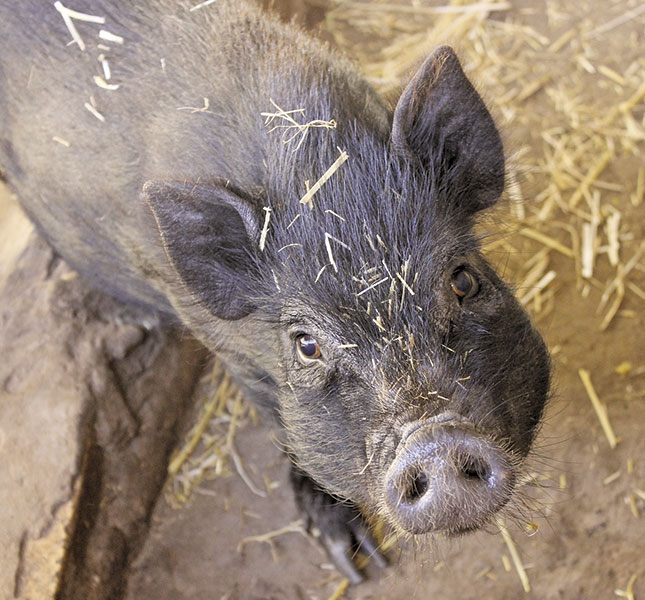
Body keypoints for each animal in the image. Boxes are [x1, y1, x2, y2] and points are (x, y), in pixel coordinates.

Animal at [0, 0, 548, 584]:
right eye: (306, 344)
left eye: (462, 279)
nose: (436, 443)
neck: (312, 167)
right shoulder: (220, 341)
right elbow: (280, 425)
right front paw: (358, 563)